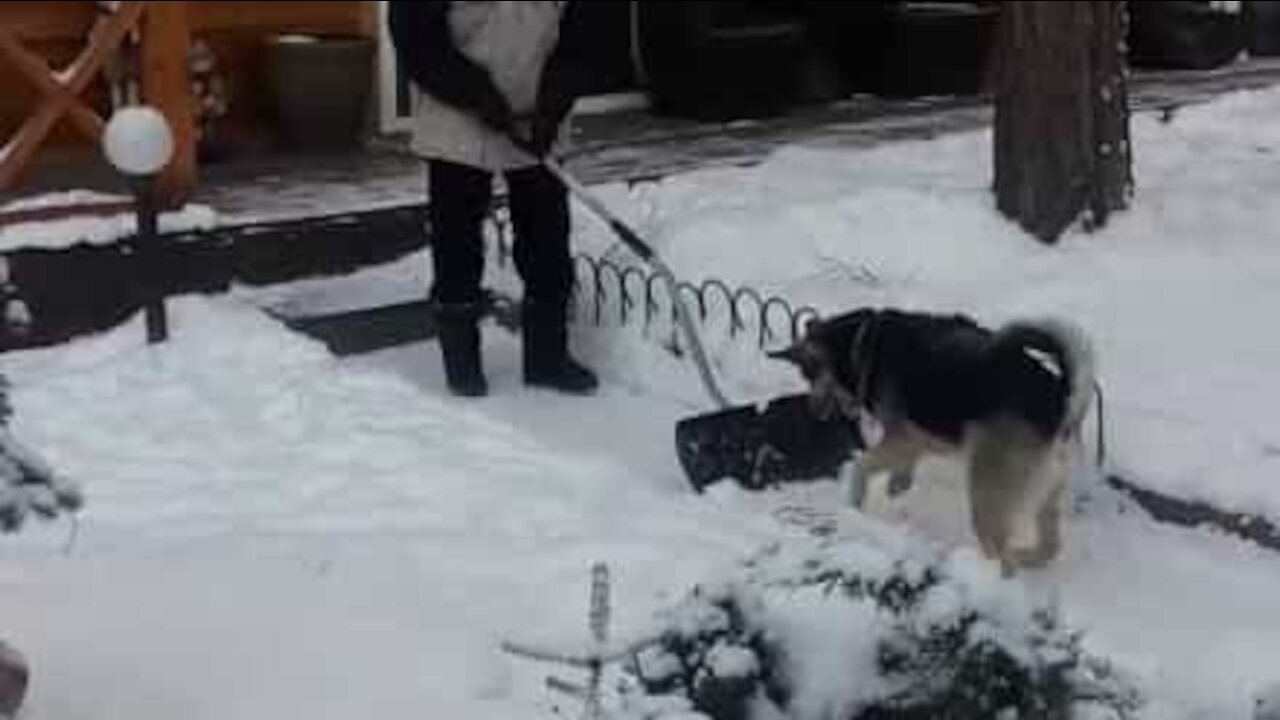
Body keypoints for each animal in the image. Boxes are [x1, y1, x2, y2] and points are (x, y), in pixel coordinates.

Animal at [762, 308, 1095, 571]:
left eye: (809, 376)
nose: (814, 412)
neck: (860, 343)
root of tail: (1060, 402)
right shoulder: (920, 437)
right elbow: (903, 465)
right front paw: (898, 484)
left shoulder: (903, 436)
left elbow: (861, 466)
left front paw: (854, 505)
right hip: (1046, 492)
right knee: (1050, 546)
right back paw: (1029, 557)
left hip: (987, 494)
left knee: (1003, 558)